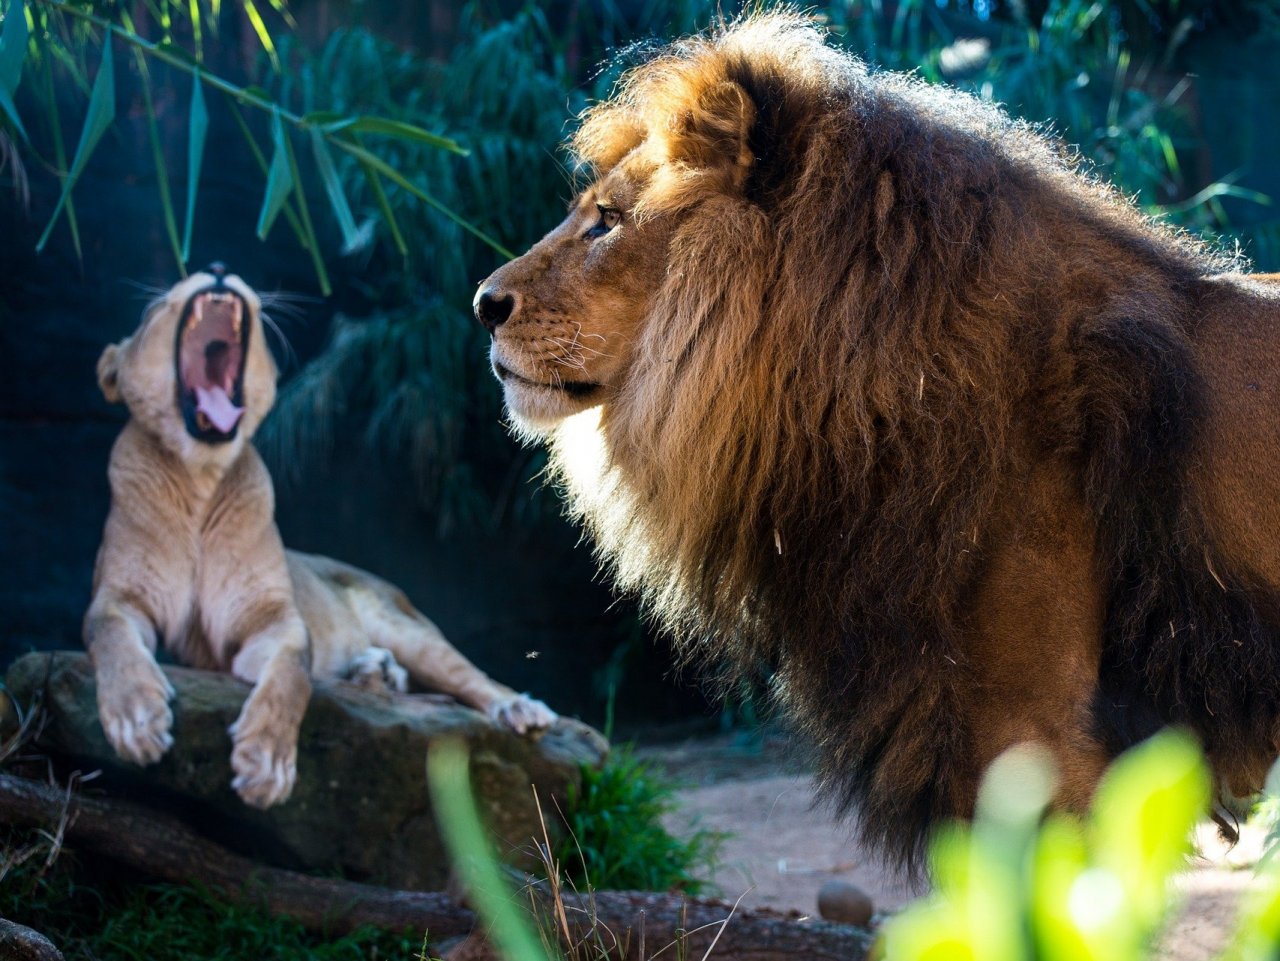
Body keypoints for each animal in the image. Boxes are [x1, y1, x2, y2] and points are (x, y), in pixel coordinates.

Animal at [87, 267, 552, 808]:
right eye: (154, 308)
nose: (219, 269)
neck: (200, 479)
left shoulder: (276, 619)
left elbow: (292, 676)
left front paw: (266, 766)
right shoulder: (118, 598)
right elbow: (111, 637)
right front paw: (136, 722)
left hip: (407, 627)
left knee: (470, 677)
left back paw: (519, 709)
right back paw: (373, 671)